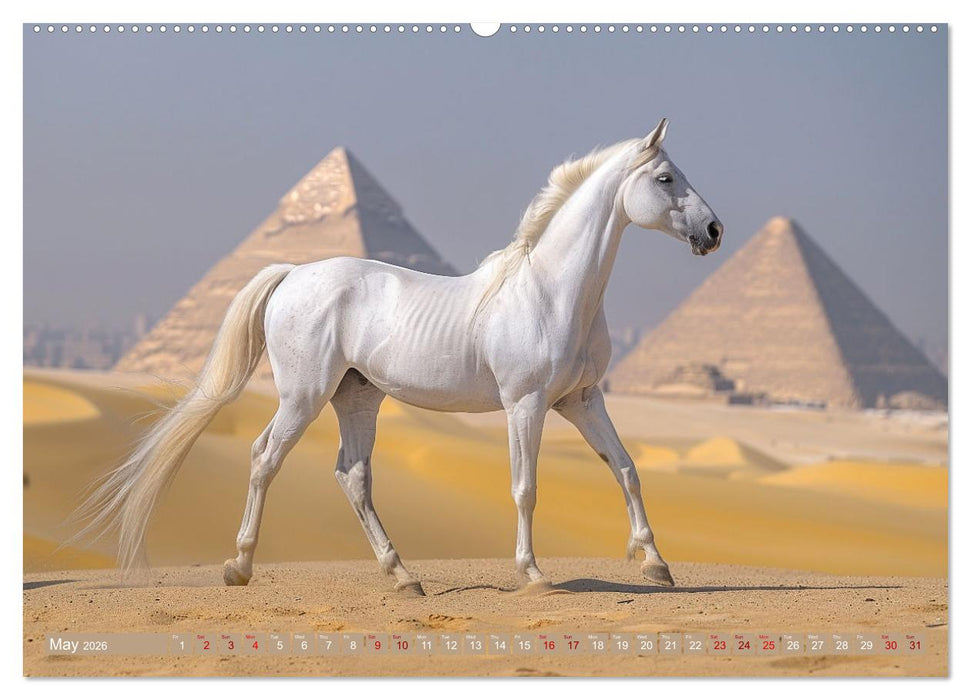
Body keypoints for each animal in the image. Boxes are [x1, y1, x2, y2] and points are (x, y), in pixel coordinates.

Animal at [75, 118, 722, 595]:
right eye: (666, 178)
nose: (714, 231)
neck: (553, 291)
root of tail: (292, 274)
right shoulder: (526, 403)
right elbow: (526, 486)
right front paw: (534, 574)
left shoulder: (582, 401)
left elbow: (627, 469)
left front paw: (655, 564)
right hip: (304, 395)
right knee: (265, 457)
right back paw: (239, 567)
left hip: (356, 398)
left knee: (352, 477)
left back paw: (403, 576)